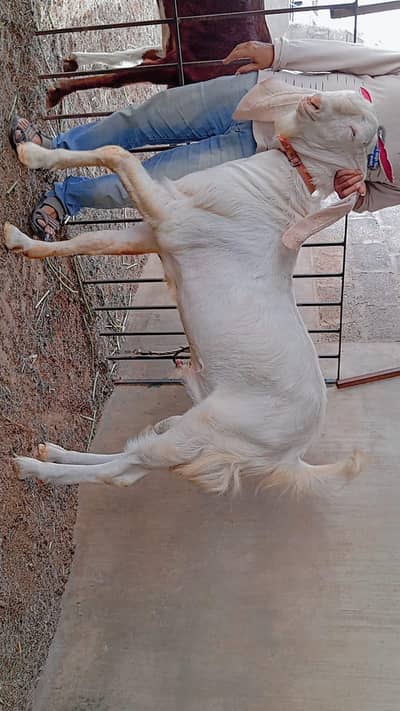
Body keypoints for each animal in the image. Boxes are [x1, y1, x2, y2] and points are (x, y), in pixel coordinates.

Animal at [4, 78, 378, 494]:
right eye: (348, 97)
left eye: (353, 133)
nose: (311, 101)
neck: (274, 185)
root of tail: (289, 457)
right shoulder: (157, 234)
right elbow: (91, 242)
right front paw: (22, 242)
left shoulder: (169, 216)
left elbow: (118, 154)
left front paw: (30, 153)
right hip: (199, 432)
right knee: (135, 460)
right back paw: (52, 451)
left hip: (208, 429)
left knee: (123, 471)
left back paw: (32, 467)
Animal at [47, 0, 272, 108]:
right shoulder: (174, 65)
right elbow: (116, 78)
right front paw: (57, 92)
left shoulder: (170, 55)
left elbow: (129, 61)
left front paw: (70, 66)